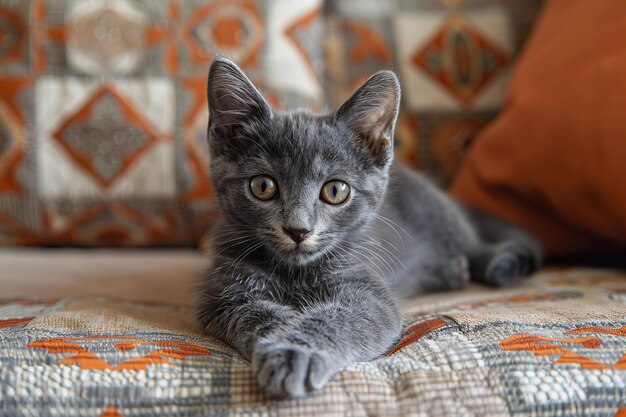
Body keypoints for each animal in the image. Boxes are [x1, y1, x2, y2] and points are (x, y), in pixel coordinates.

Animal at [196, 57, 540, 398]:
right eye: (263, 186)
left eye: (335, 191)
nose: (298, 230)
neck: (294, 271)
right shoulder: (223, 294)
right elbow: (253, 312)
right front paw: (283, 334)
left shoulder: (369, 290)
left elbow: (345, 317)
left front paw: (296, 352)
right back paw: (451, 271)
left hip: (443, 218)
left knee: (476, 246)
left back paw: (489, 264)